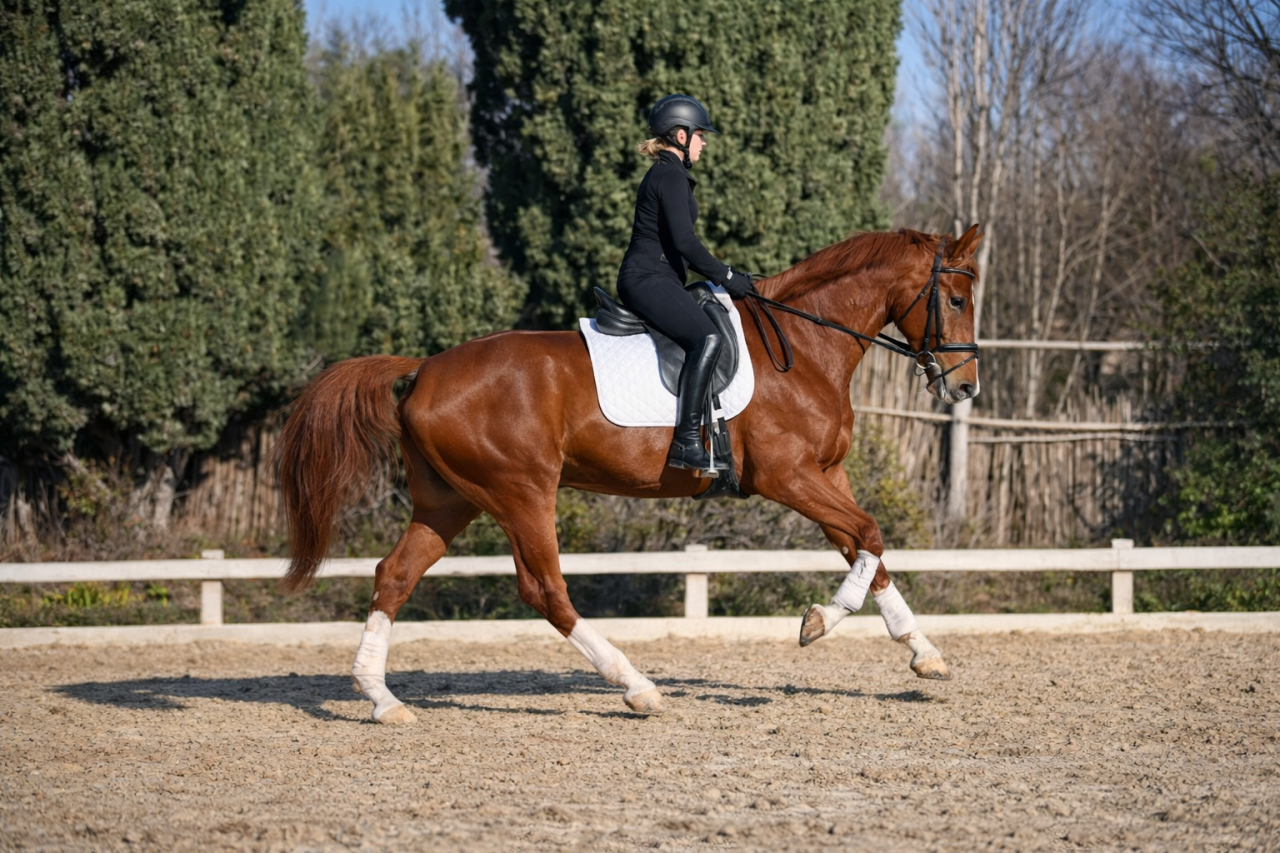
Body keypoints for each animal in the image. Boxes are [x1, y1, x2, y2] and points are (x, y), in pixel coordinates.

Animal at [275, 225, 983, 724]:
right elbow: (871, 535)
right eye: (955, 299)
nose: (966, 387)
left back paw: (382, 699)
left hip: (449, 502)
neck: (805, 348)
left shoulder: (826, 476)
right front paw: (819, 621)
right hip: (522, 492)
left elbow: (868, 546)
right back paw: (637, 687)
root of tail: (424, 369)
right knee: (545, 590)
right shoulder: (788, 477)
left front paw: (923, 652)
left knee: (394, 576)